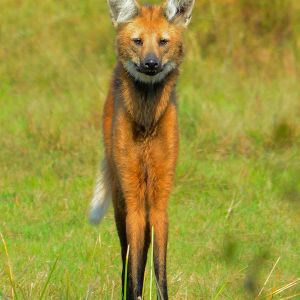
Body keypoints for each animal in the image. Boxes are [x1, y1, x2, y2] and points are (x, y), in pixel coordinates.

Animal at [89, 1, 196, 298]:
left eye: (163, 42)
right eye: (138, 41)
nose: (151, 64)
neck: (147, 121)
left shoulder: (159, 200)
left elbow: (160, 266)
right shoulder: (133, 196)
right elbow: (134, 264)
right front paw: (134, 292)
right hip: (120, 198)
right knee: (126, 254)